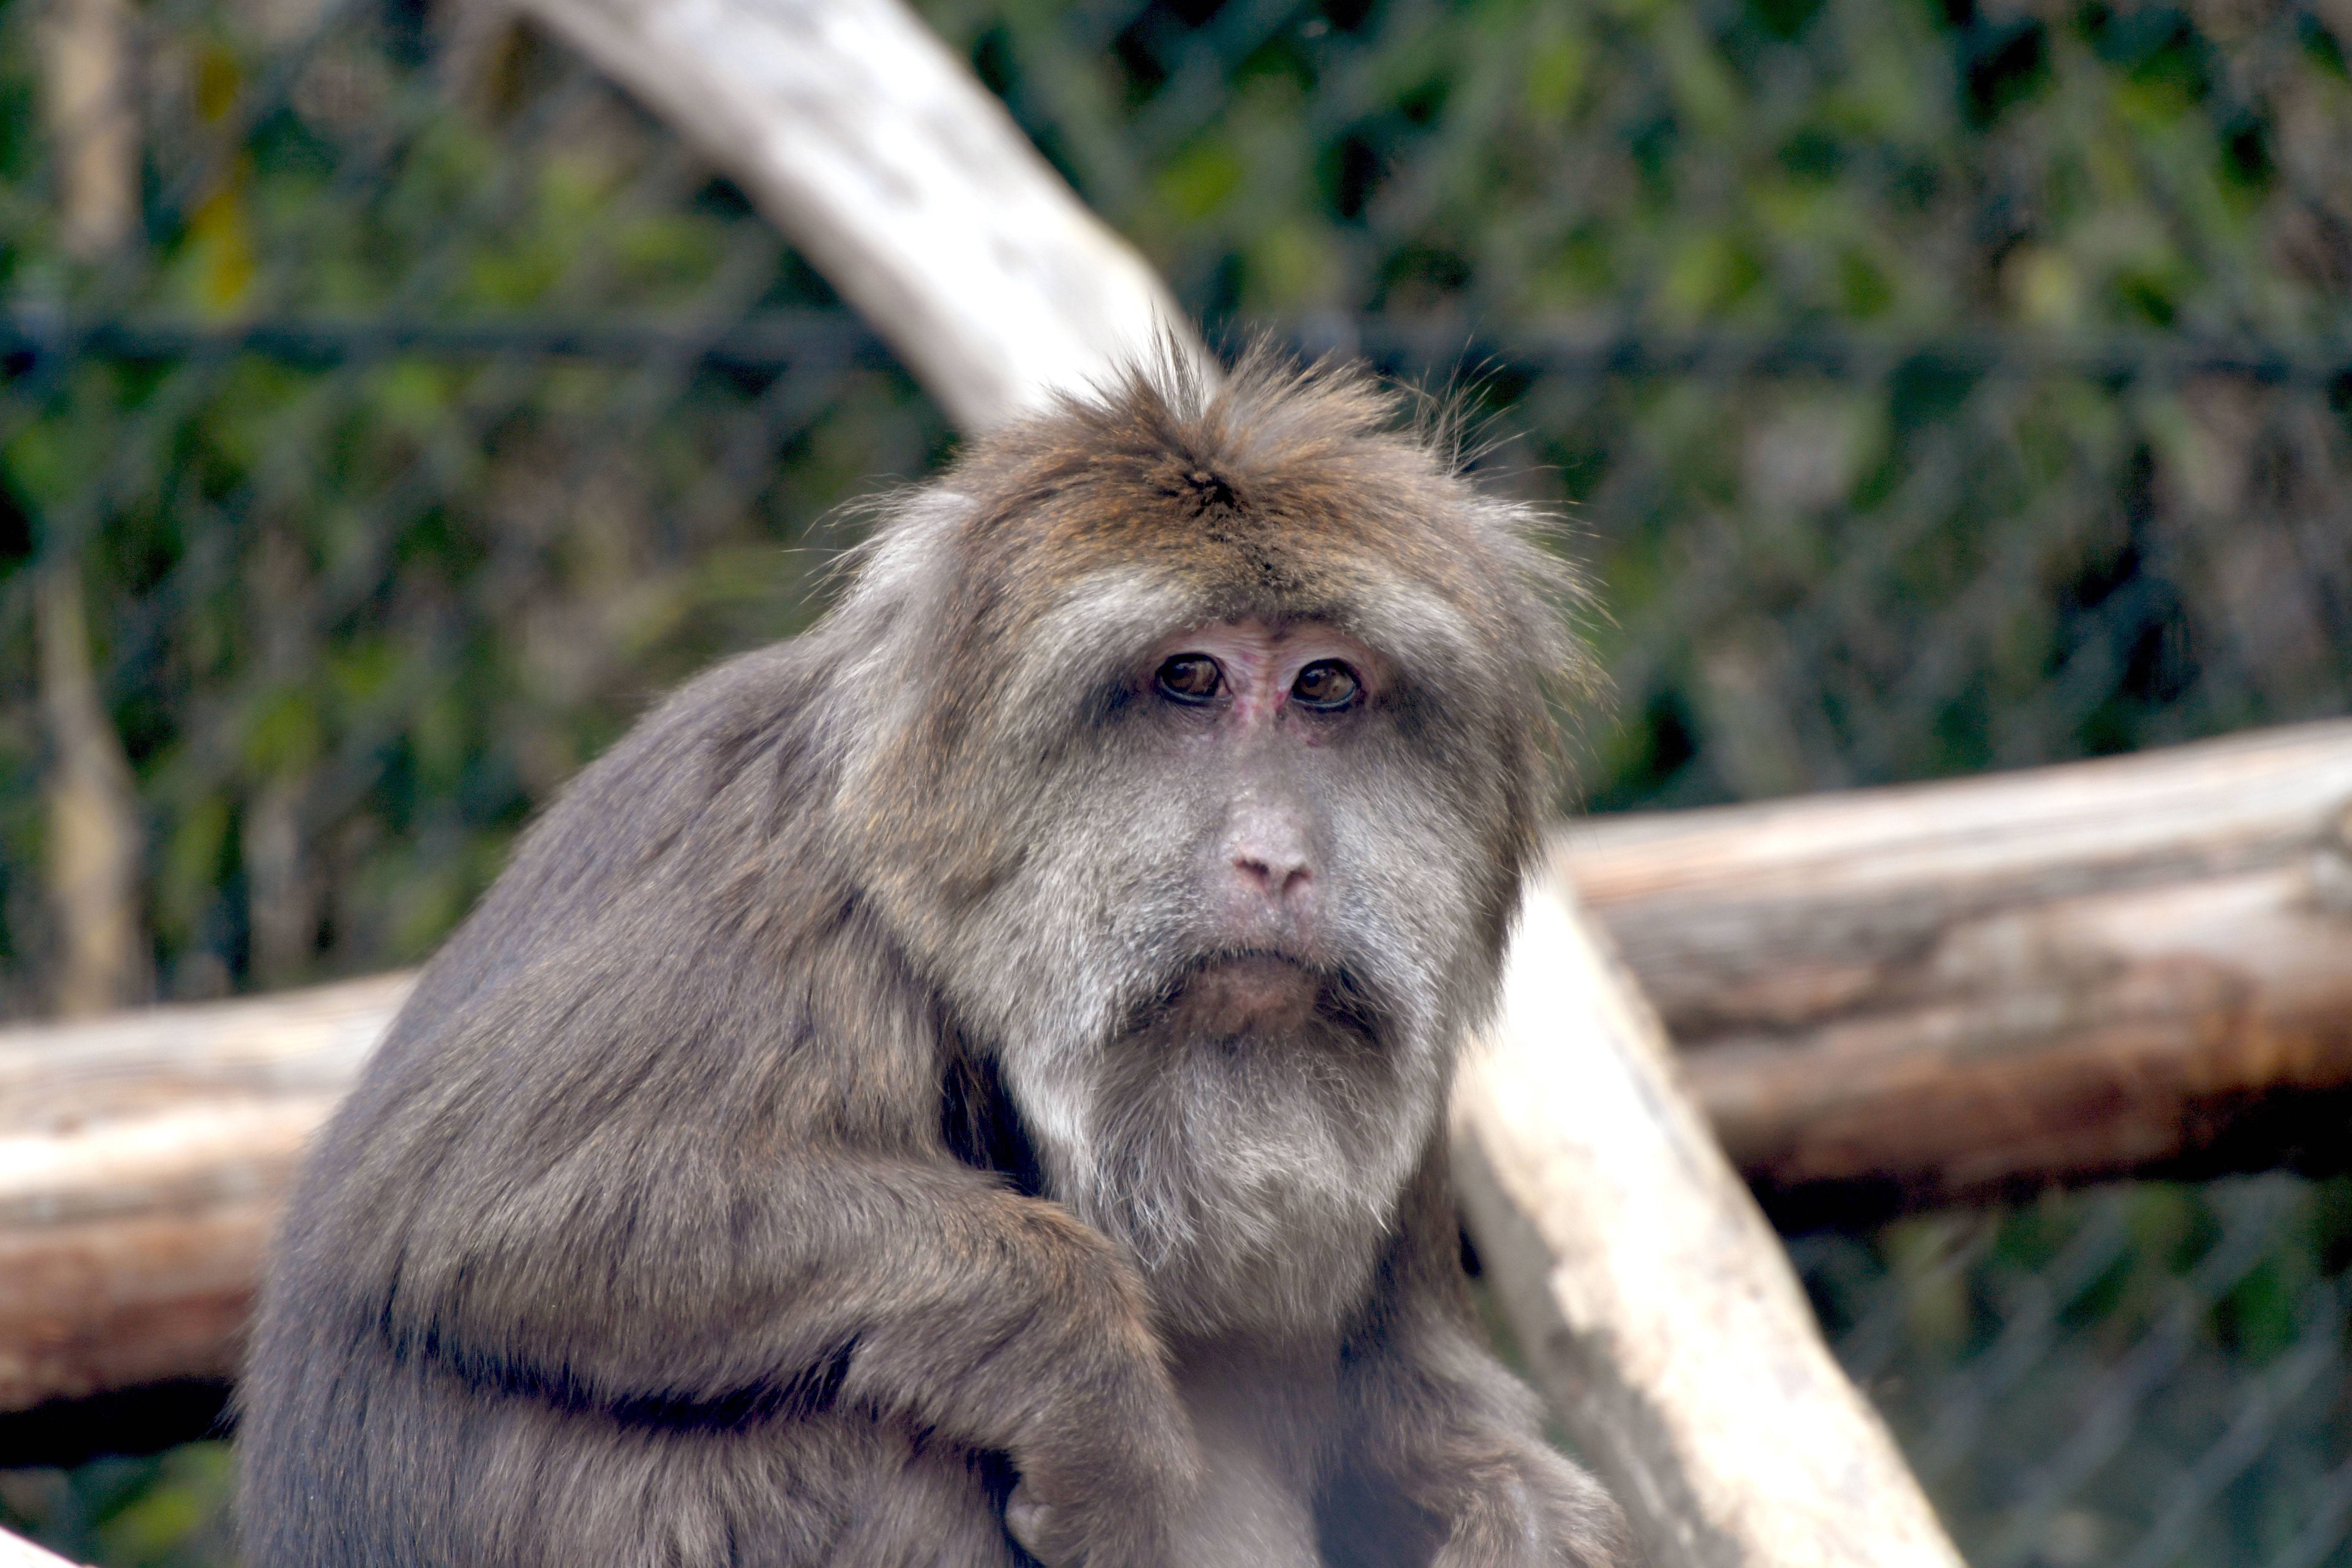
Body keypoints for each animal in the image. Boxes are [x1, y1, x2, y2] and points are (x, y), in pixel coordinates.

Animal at [243, 352, 1637, 1568]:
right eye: (1189, 680)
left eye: (1326, 689)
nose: (1277, 860)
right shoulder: (787, 873)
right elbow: (485, 1206)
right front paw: (1093, 1392)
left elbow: (1420, 1414)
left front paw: (1517, 1516)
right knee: (854, 1443)